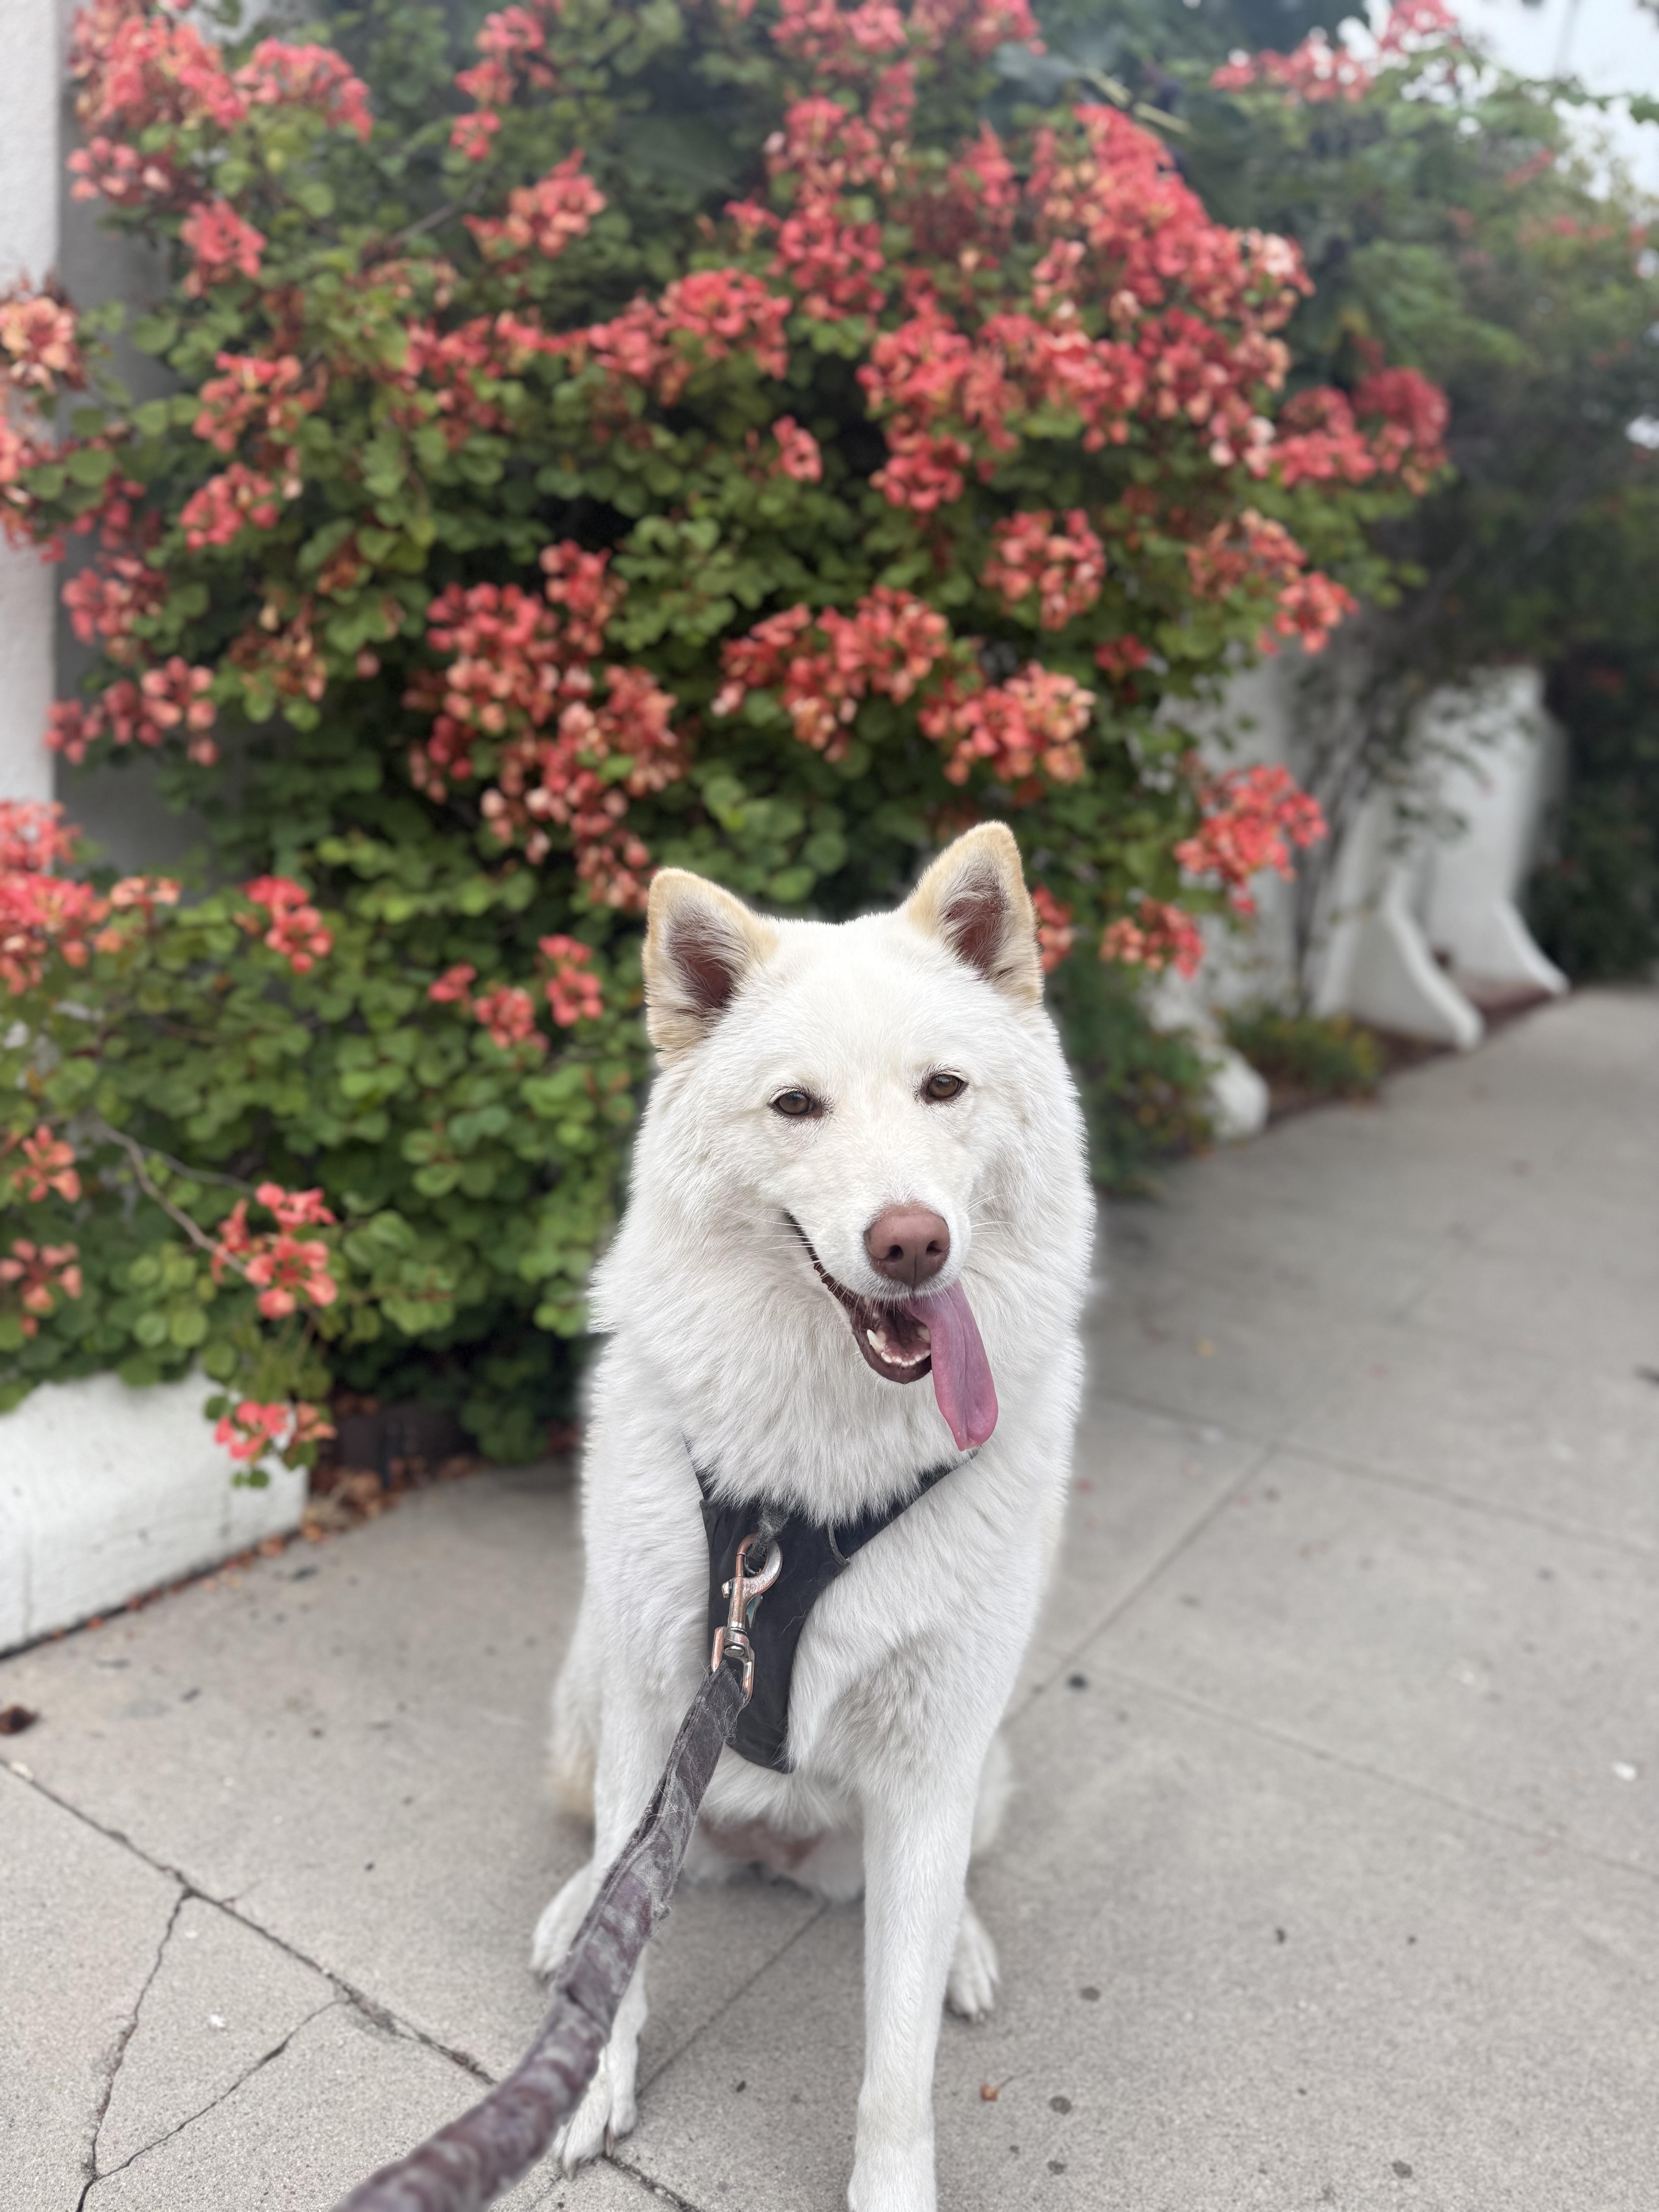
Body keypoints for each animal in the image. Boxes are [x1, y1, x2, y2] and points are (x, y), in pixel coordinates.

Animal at [531, 822, 1093, 2212]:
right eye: (796, 1107)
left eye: (943, 1088)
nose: (911, 1244)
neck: (810, 1487)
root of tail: (770, 1850)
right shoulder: (654, 1693)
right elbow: (626, 1931)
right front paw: (592, 2073)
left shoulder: (934, 1755)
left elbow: (894, 2061)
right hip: (591, 1698)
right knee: (609, 1859)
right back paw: (574, 1919)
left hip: (975, 1767)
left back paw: (958, 1948)